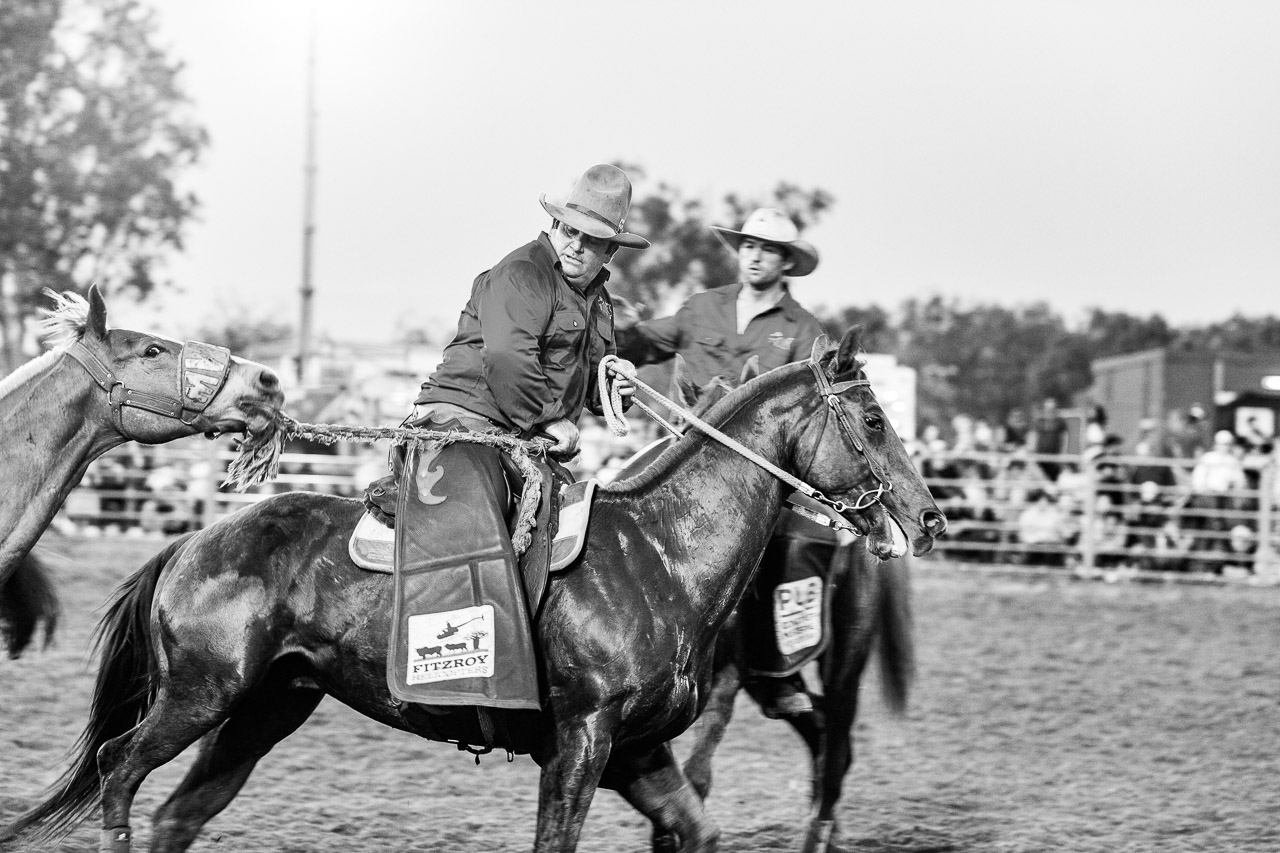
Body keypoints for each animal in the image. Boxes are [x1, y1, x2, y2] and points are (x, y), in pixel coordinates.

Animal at [5, 327, 947, 845]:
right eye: (872, 419)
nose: (930, 514)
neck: (659, 553)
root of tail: (192, 542)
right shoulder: (582, 742)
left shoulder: (639, 752)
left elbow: (696, 828)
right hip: (201, 695)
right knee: (118, 770)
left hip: (265, 706)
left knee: (177, 814)